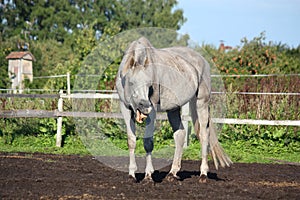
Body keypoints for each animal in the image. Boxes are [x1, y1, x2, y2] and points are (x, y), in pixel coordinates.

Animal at [115, 37, 232, 183]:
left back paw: (203, 174)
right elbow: (131, 141)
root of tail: (202, 60)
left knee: (204, 135)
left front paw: (148, 175)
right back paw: (172, 173)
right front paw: (131, 174)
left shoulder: (152, 111)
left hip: (201, 103)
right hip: (173, 109)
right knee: (180, 135)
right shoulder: (125, 108)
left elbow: (148, 142)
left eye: (149, 84)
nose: (145, 106)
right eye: (131, 83)